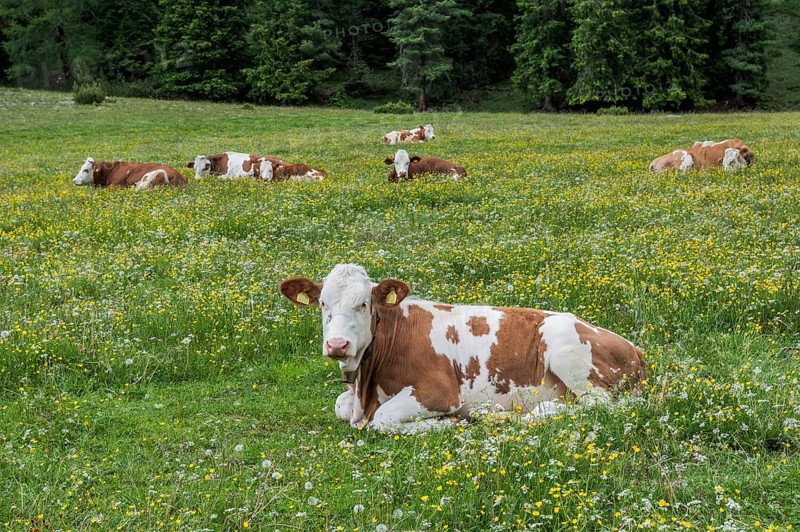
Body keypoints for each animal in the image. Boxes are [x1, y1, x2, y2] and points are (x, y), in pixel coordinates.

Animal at [280, 264, 647, 432]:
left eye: (363, 304)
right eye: (323, 303)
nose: (337, 344)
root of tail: (636, 349)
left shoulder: (439, 391)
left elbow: (382, 420)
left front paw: (447, 423)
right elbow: (339, 406)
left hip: (565, 348)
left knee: (598, 404)